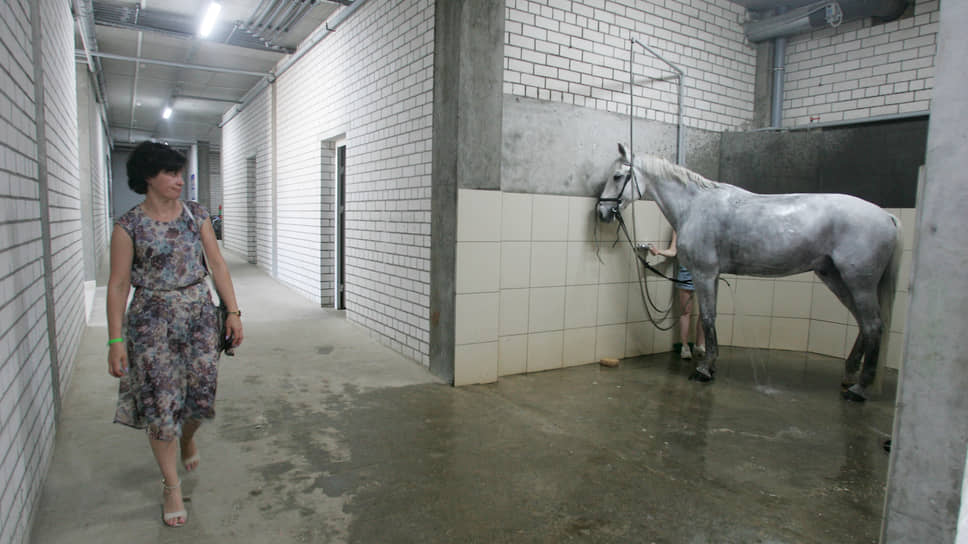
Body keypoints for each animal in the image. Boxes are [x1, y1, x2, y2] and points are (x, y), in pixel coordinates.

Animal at [596, 142, 900, 402]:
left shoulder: (705, 273)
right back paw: (849, 376)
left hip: (859, 283)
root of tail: (887, 216)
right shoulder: (714, 275)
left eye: (617, 176)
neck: (695, 206)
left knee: (873, 325)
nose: (601, 211)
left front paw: (703, 370)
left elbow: (708, 318)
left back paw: (860, 389)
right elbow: (709, 318)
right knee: (863, 323)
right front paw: (711, 365)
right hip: (836, 277)